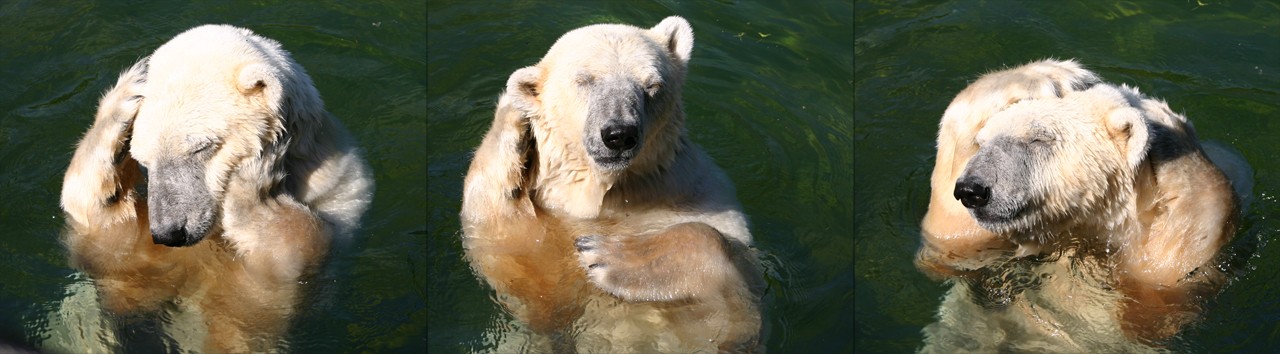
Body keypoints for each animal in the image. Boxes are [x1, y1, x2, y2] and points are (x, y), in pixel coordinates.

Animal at [59, 23, 373, 350]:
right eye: (144, 159)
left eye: (201, 147)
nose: (170, 233)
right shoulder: (140, 262)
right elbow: (113, 245)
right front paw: (123, 98)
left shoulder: (341, 195)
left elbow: (255, 298)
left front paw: (256, 179)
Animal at [460, 15, 757, 350]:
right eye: (584, 80)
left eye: (652, 85)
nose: (619, 134)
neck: (605, 195)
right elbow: (512, 254)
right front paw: (514, 116)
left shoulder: (696, 195)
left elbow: (729, 315)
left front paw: (609, 255)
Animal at [916, 58, 1254, 347]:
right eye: (982, 142)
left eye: (1039, 138)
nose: (973, 190)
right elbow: (950, 244)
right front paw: (1051, 75)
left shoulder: (1170, 272)